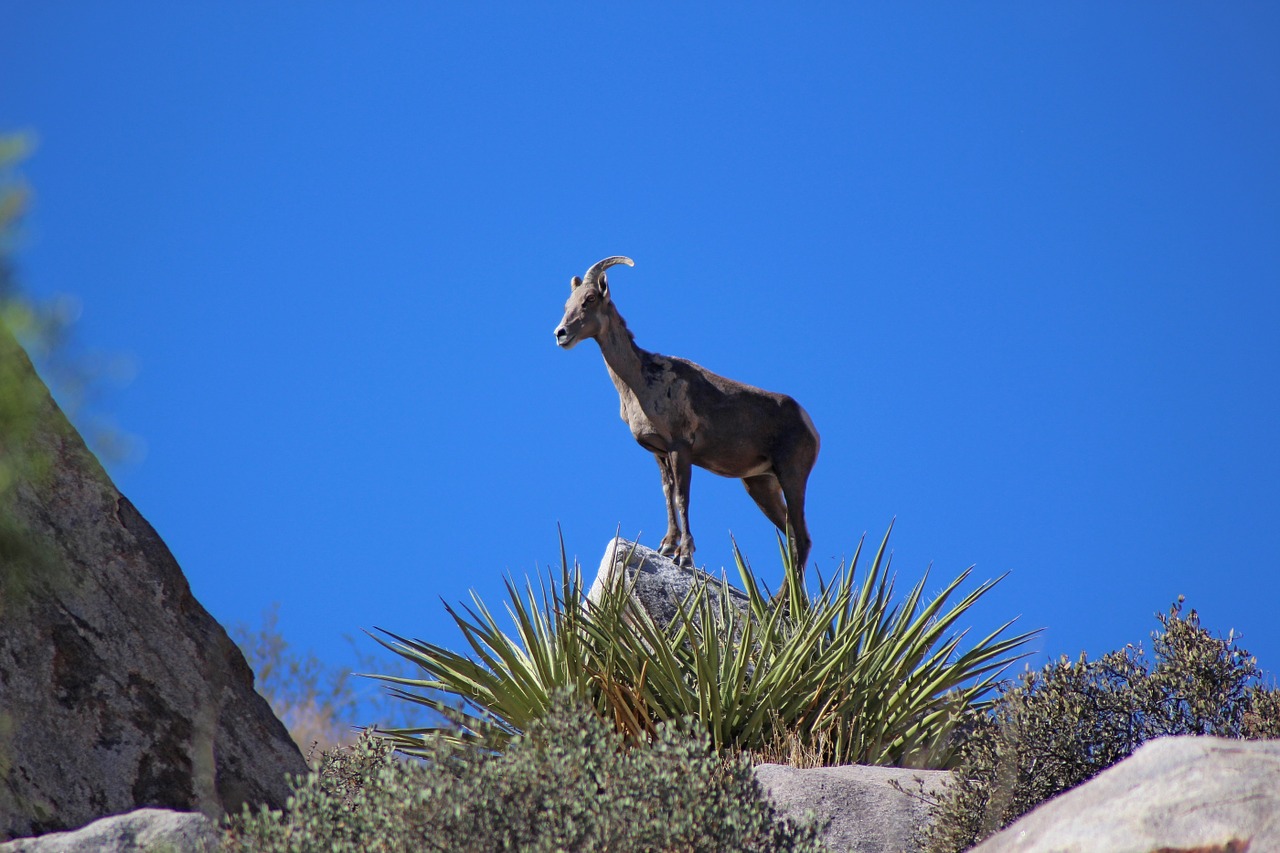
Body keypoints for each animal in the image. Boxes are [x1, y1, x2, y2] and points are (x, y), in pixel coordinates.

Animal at [552, 252, 819, 571]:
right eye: (567, 304)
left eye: (590, 298)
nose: (560, 334)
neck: (640, 382)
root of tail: (810, 426)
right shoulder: (658, 452)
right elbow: (667, 495)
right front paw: (667, 546)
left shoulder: (680, 448)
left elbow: (682, 497)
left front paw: (684, 555)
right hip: (760, 485)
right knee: (791, 536)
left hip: (791, 475)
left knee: (802, 538)